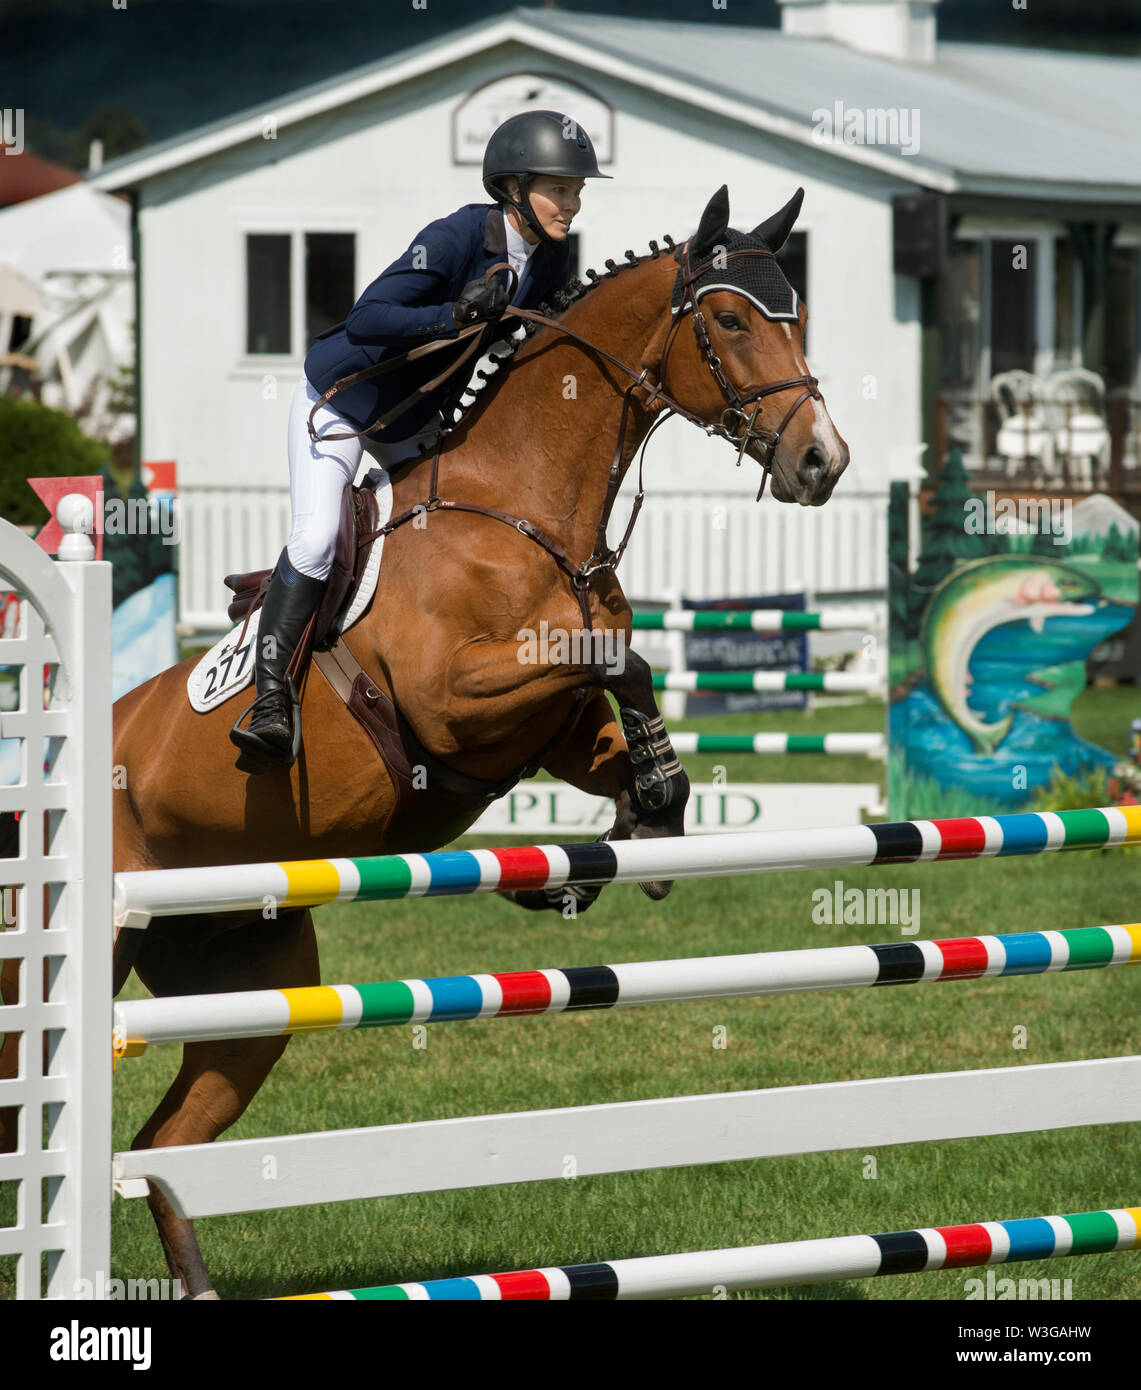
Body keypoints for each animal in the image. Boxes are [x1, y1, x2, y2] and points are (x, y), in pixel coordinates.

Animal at [95, 182, 844, 1289]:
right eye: (729, 320)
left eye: (793, 315)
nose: (821, 460)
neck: (525, 508)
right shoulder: (455, 700)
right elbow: (618, 657)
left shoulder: (547, 732)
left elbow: (619, 707)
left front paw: (634, 829)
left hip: (247, 986)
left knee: (163, 1146)